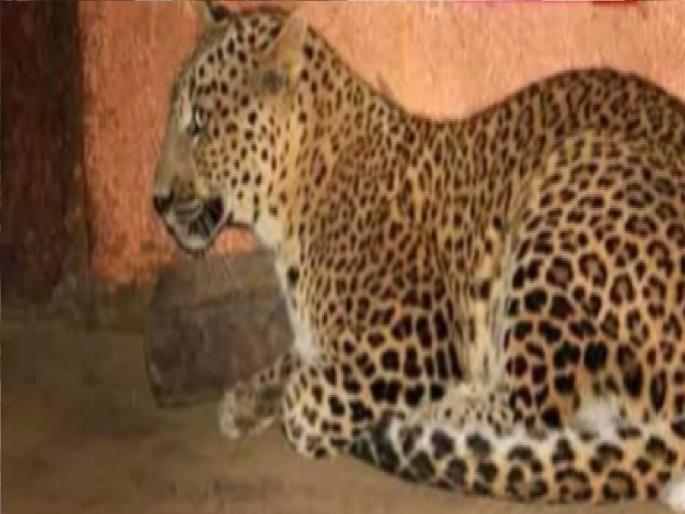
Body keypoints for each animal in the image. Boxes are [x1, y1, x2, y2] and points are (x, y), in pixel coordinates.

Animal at [152, 1, 685, 509]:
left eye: (199, 124)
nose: (156, 200)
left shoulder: (410, 337)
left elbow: (304, 400)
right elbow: (293, 360)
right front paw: (244, 401)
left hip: (572, 185)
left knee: (536, 415)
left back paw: (427, 417)